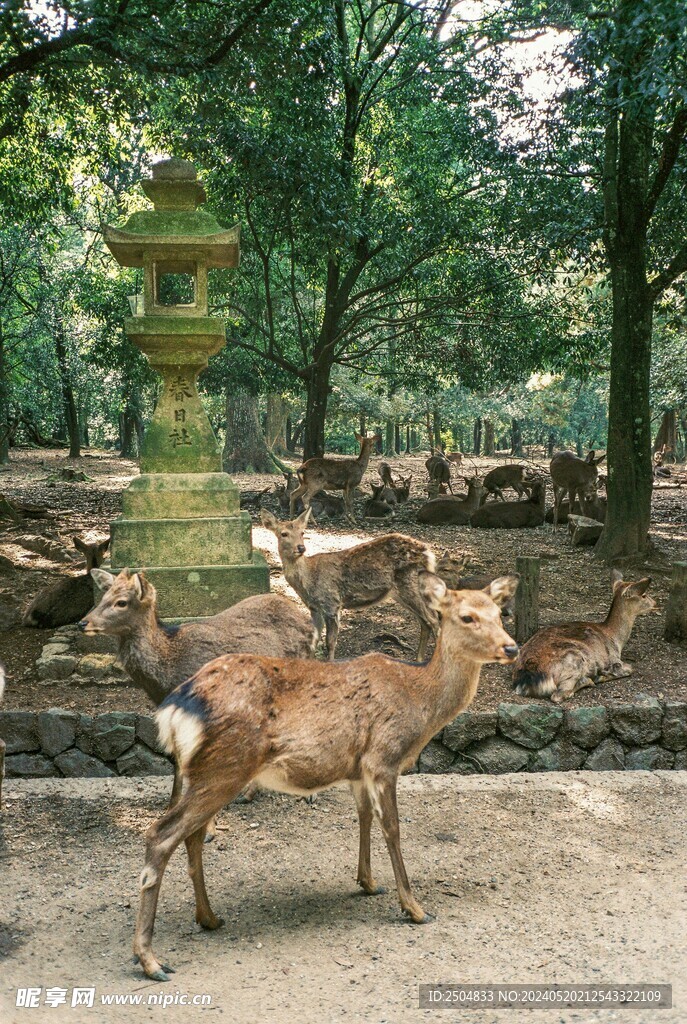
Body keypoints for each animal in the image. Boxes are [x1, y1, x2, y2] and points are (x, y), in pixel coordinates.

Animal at [80, 571, 317, 816]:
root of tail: (309, 623)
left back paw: (309, 793)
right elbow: (177, 756)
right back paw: (251, 792)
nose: (82, 622)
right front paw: (172, 805)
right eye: (103, 596)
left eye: (121, 602)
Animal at [133, 572, 520, 981]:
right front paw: (415, 908)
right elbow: (392, 828)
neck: (420, 702)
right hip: (225, 767)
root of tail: (174, 708)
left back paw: (209, 918)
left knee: (191, 836)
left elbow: (363, 817)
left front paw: (369, 883)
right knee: (161, 834)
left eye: (499, 613)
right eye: (466, 617)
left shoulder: (357, 768)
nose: (511, 648)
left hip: (193, 772)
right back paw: (151, 960)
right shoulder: (384, 757)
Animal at [261, 509, 439, 660]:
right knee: (425, 622)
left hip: (410, 584)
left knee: (434, 621)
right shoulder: (314, 608)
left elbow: (330, 642)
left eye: (302, 532)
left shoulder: (331, 602)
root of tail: (428, 554)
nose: (301, 547)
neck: (308, 579)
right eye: (283, 533)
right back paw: (419, 660)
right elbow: (313, 640)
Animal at [512, 572, 655, 703]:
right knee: (559, 695)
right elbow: (630, 668)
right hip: (574, 660)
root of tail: (524, 681)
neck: (616, 639)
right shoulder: (614, 658)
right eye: (644, 595)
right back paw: (591, 678)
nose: (656, 603)